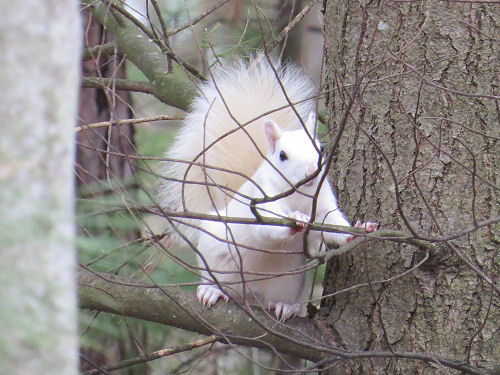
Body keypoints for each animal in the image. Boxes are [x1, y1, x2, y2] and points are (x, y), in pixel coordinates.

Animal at [159, 55, 376, 320]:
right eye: (282, 155)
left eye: (321, 148)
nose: (310, 173)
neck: (302, 195)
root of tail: (250, 296)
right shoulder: (264, 200)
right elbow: (269, 224)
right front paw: (297, 218)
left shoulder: (324, 206)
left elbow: (333, 227)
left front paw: (361, 228)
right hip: (215, 257)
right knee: (216, 280)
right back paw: (211, 290)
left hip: (288, 282)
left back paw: (285, 307)